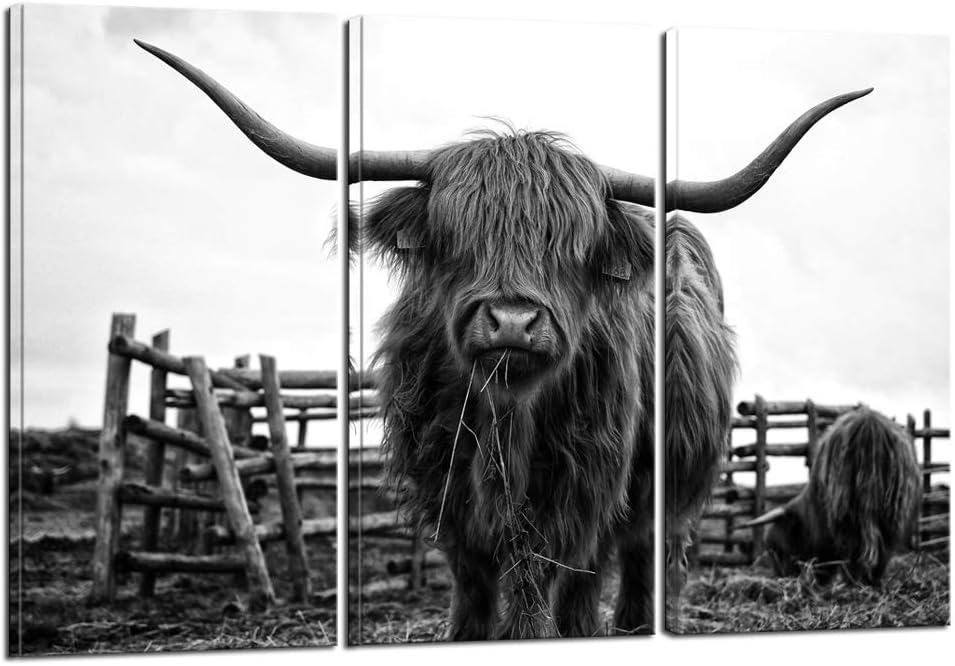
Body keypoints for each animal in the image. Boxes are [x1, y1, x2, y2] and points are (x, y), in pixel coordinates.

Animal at [135, 39, 871, 638]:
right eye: (457, 234)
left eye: (572, 245)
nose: (514, 322)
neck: (504, 415)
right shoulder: (444, 481)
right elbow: (473, 580)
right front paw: (466, 635)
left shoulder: (579, 484)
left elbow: (539, 577)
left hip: (669, 488)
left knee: (638, 560)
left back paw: (629, 627)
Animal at [739, 406, 921, 586]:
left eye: (777, 549)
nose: (782, 577)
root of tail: (870, 423)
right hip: (892, 510)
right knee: (884, 548)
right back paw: (872, 582)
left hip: (846, 509)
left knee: (854, 547)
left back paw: (852, 582)